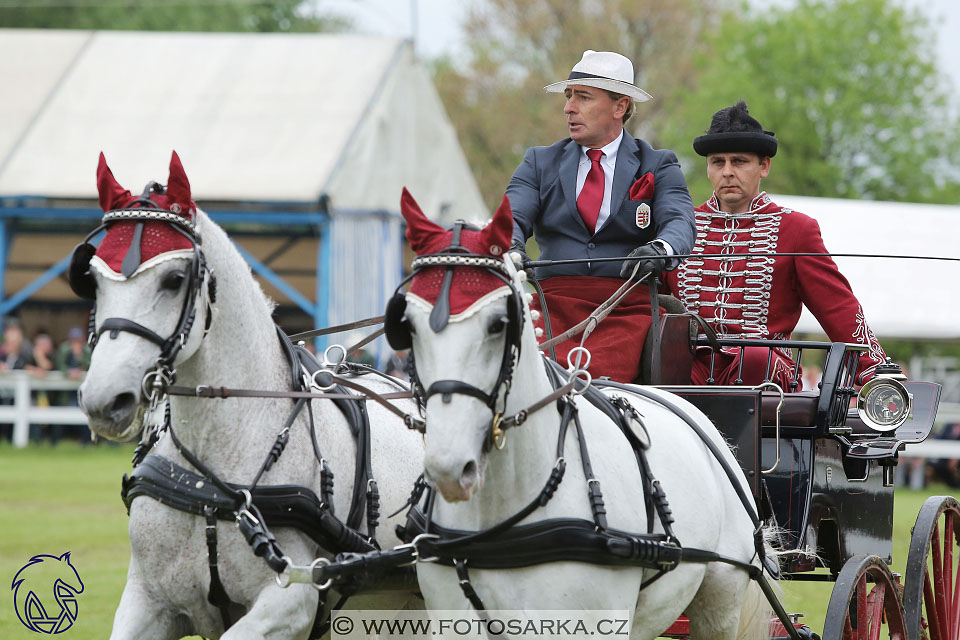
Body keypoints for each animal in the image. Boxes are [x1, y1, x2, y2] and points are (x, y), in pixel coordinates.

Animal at [80, 152, 426, 636]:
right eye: (92, 278)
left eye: (174, 278)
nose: (105, 400)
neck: (211, 479)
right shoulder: (148, 601)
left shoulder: (292, 600)